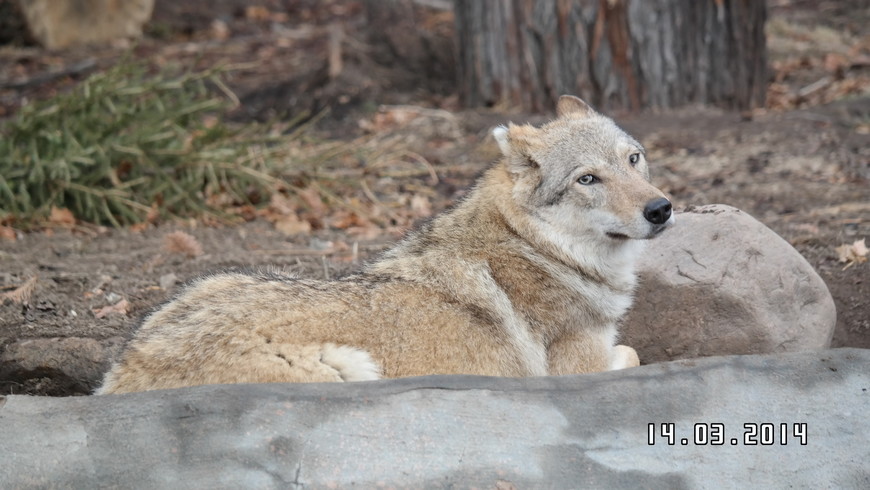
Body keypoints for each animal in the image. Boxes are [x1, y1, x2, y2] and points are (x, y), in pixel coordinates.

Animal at [99, 94, 676, 394]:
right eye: (587, 179)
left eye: (633, 159)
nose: (661, 209)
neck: (539, 248)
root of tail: (127, 374)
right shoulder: (579, 371)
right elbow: (633, 352)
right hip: (348, 368)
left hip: (215, 280)